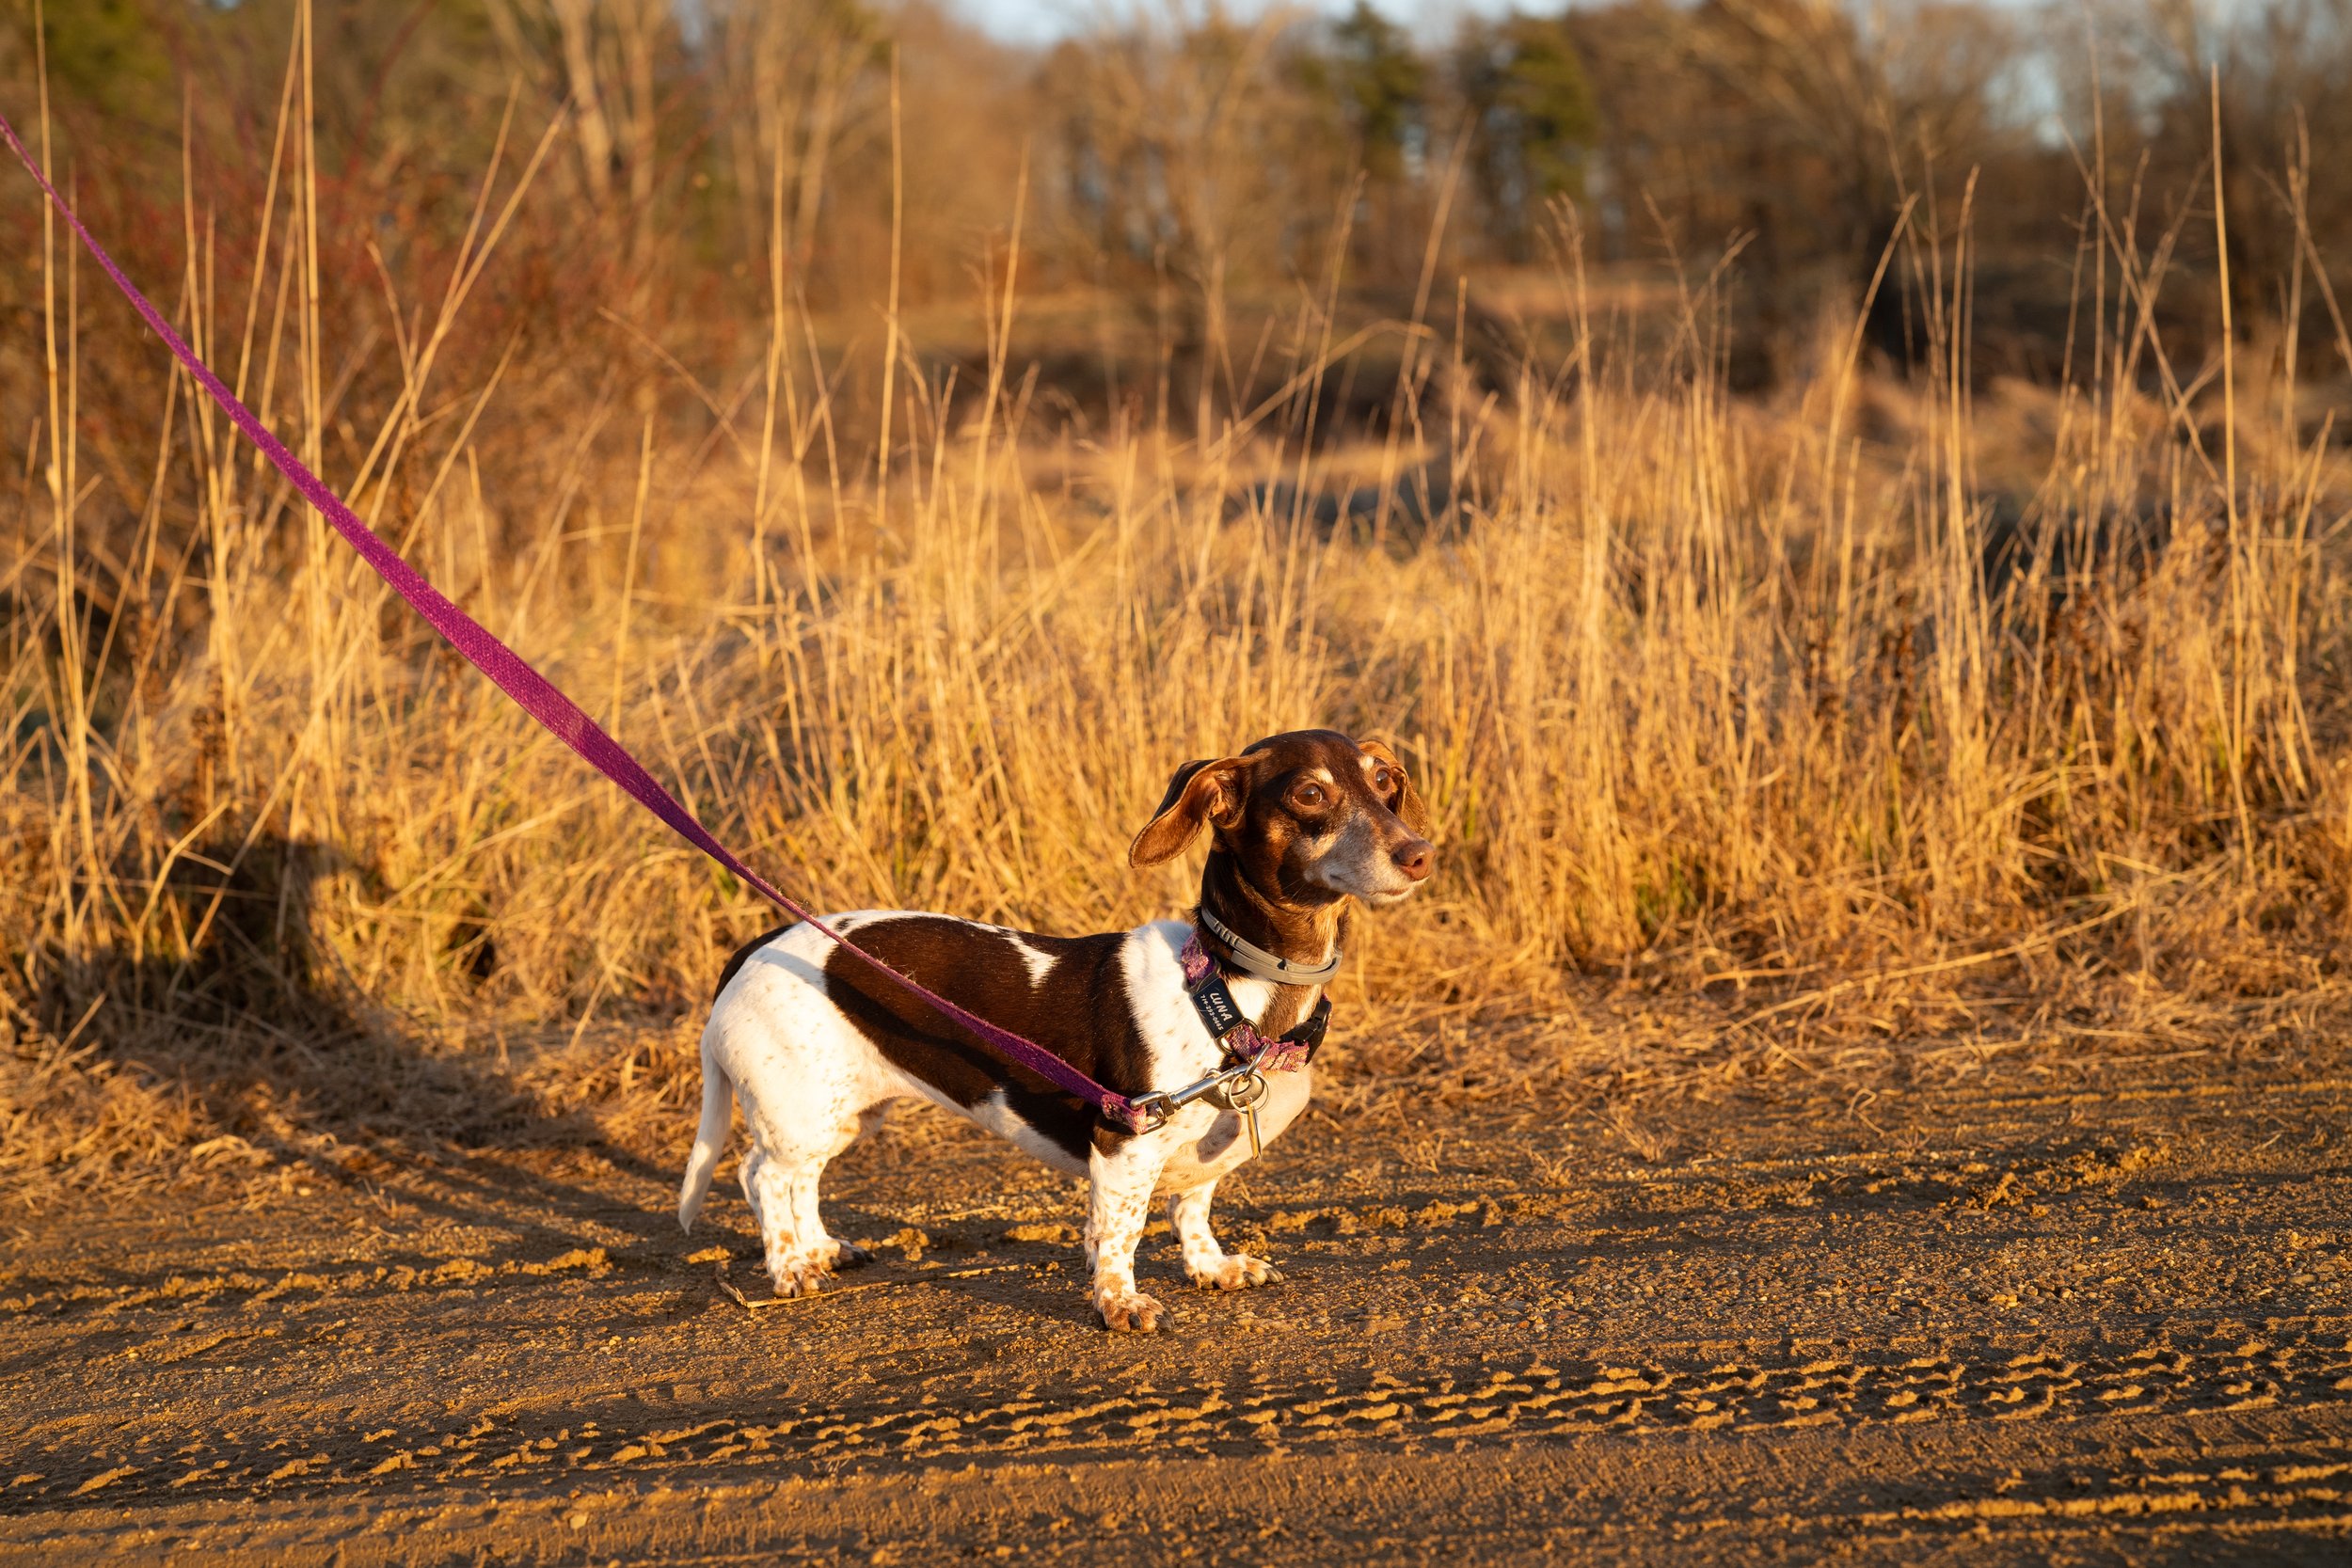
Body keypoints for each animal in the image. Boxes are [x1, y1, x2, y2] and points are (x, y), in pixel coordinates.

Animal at [673, 728, 1421, 1335]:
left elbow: (1192, 1209)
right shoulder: (1126, 1140)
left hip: (840, 1110)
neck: (1229, 989)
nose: (1420, 853)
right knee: (760, 1176)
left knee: (801, 1179)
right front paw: (1119, 1304)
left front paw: (1213, 1267)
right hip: (796, 1110)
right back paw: (789, 1267)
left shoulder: (1200, 1154)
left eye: (1385, 781)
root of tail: (754, 948)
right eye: (1310, 793)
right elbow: (1121, 1234)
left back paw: (821, 1249)